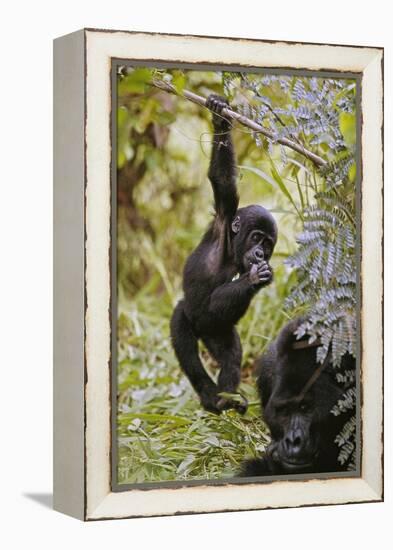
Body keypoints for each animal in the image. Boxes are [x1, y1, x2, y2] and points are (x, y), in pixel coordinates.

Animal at [170, 96, 278, 414]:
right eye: (256, 237)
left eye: (268, 244)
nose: (260, 253)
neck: (233, 249)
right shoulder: (224, 214)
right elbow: (222, 179)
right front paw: (220, 118)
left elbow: (221, 303)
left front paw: (259, 277)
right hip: (190, 318)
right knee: (186, 343)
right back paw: (209, 396)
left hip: (215, 332)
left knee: (230, 352)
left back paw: (226, 398)